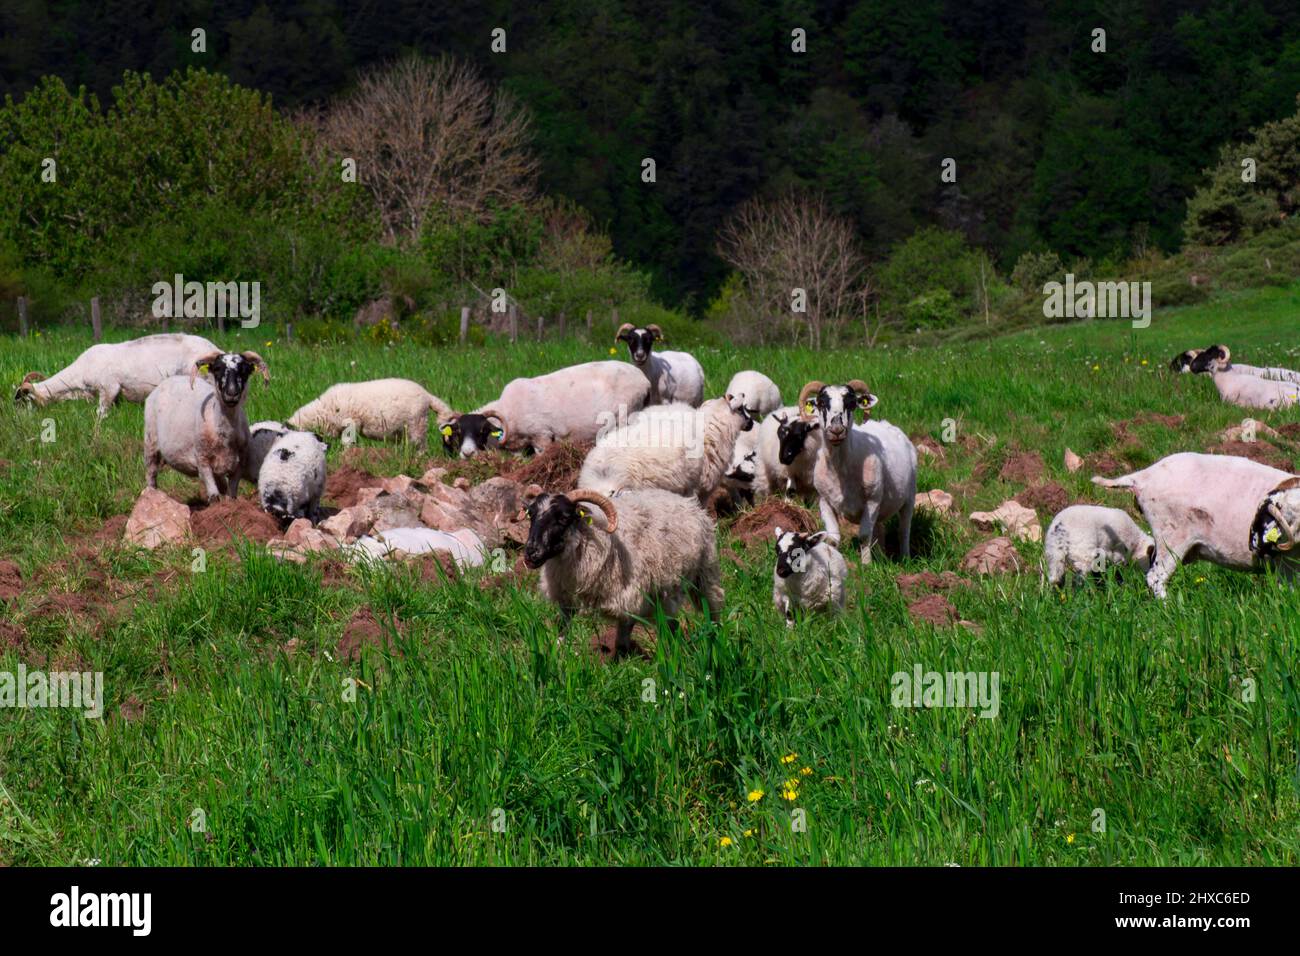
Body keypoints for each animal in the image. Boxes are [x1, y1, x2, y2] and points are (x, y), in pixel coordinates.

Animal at [143, 351, 269, 502]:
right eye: (217, 369)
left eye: (244, 370)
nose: (231, 393)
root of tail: (169, 380)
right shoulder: (202, 460)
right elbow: (213, 496)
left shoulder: (239, 464)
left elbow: (231, 494)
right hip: (151, 443)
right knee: (151, 474)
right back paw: (151, 495)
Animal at [288, 379, 455, 451]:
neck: (323, 411)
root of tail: (427, 395)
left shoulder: (351, 422)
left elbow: (347, 442)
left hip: (417, 423)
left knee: (421, 446)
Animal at [444, 361, 651, 457]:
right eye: (458, 432)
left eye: (482, 431)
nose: (467, 454)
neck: (508, 410)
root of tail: (644, 380)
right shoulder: (519, 446)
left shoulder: (541, 435)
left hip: (627, 415)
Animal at [523, 487, 723, 657]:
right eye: (531, 515)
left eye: (564, 518)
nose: (531, 552)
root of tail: (690, 503)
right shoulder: (565, 598)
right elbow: (562, 628)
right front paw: (558, 652)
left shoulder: (630, 596)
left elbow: (622, 638)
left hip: (704, 574)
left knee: (710, 608)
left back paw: (713, 640)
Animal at [797, 380, 917, 564]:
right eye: (821, 403)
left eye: (851, 403)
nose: (837, 430)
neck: (840, 470)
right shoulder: (825, 501)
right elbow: (833, 538)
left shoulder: (872, 501)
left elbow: (864, 535)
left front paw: (866, 565)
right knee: (879, 529)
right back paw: (880, 556)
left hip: (909, 497)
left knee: (904, 530)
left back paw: (905, 558)